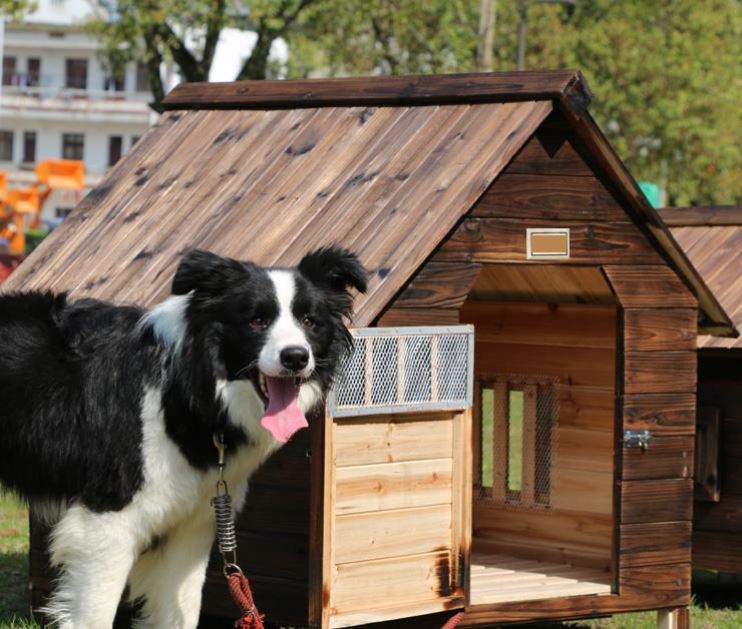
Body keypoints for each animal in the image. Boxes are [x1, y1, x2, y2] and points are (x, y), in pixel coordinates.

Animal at [0, 248, 368, 628]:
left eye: (309, 321)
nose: (296, 357)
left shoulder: (191, 526)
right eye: (257, 321)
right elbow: (95, 613)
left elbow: (183, 610)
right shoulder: (107, 522)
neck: (189, 390)